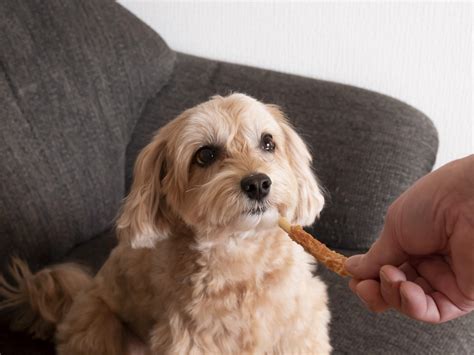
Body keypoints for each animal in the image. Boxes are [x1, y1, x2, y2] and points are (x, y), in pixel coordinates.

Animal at [0, 93, 332, 354]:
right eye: (205, 154)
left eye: (268, 142)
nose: (258, 183)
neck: (242, 253)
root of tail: (77, 297)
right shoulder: (189, 339)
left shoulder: (301, 326)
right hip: (97, 326)